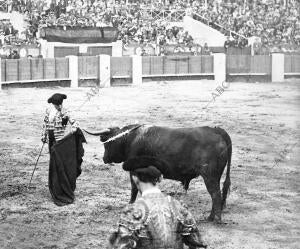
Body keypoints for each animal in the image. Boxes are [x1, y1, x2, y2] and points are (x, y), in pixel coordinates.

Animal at [84, 124, 232, 222]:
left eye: (106, 144)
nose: (104, 159)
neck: (131, 139)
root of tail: (216, 130)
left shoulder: (133, 170)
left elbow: (134, 188)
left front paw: (131, 205)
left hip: (210, 176)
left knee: (215, 195)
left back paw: (214, 219)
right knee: (217, 195)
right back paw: (211, 217)